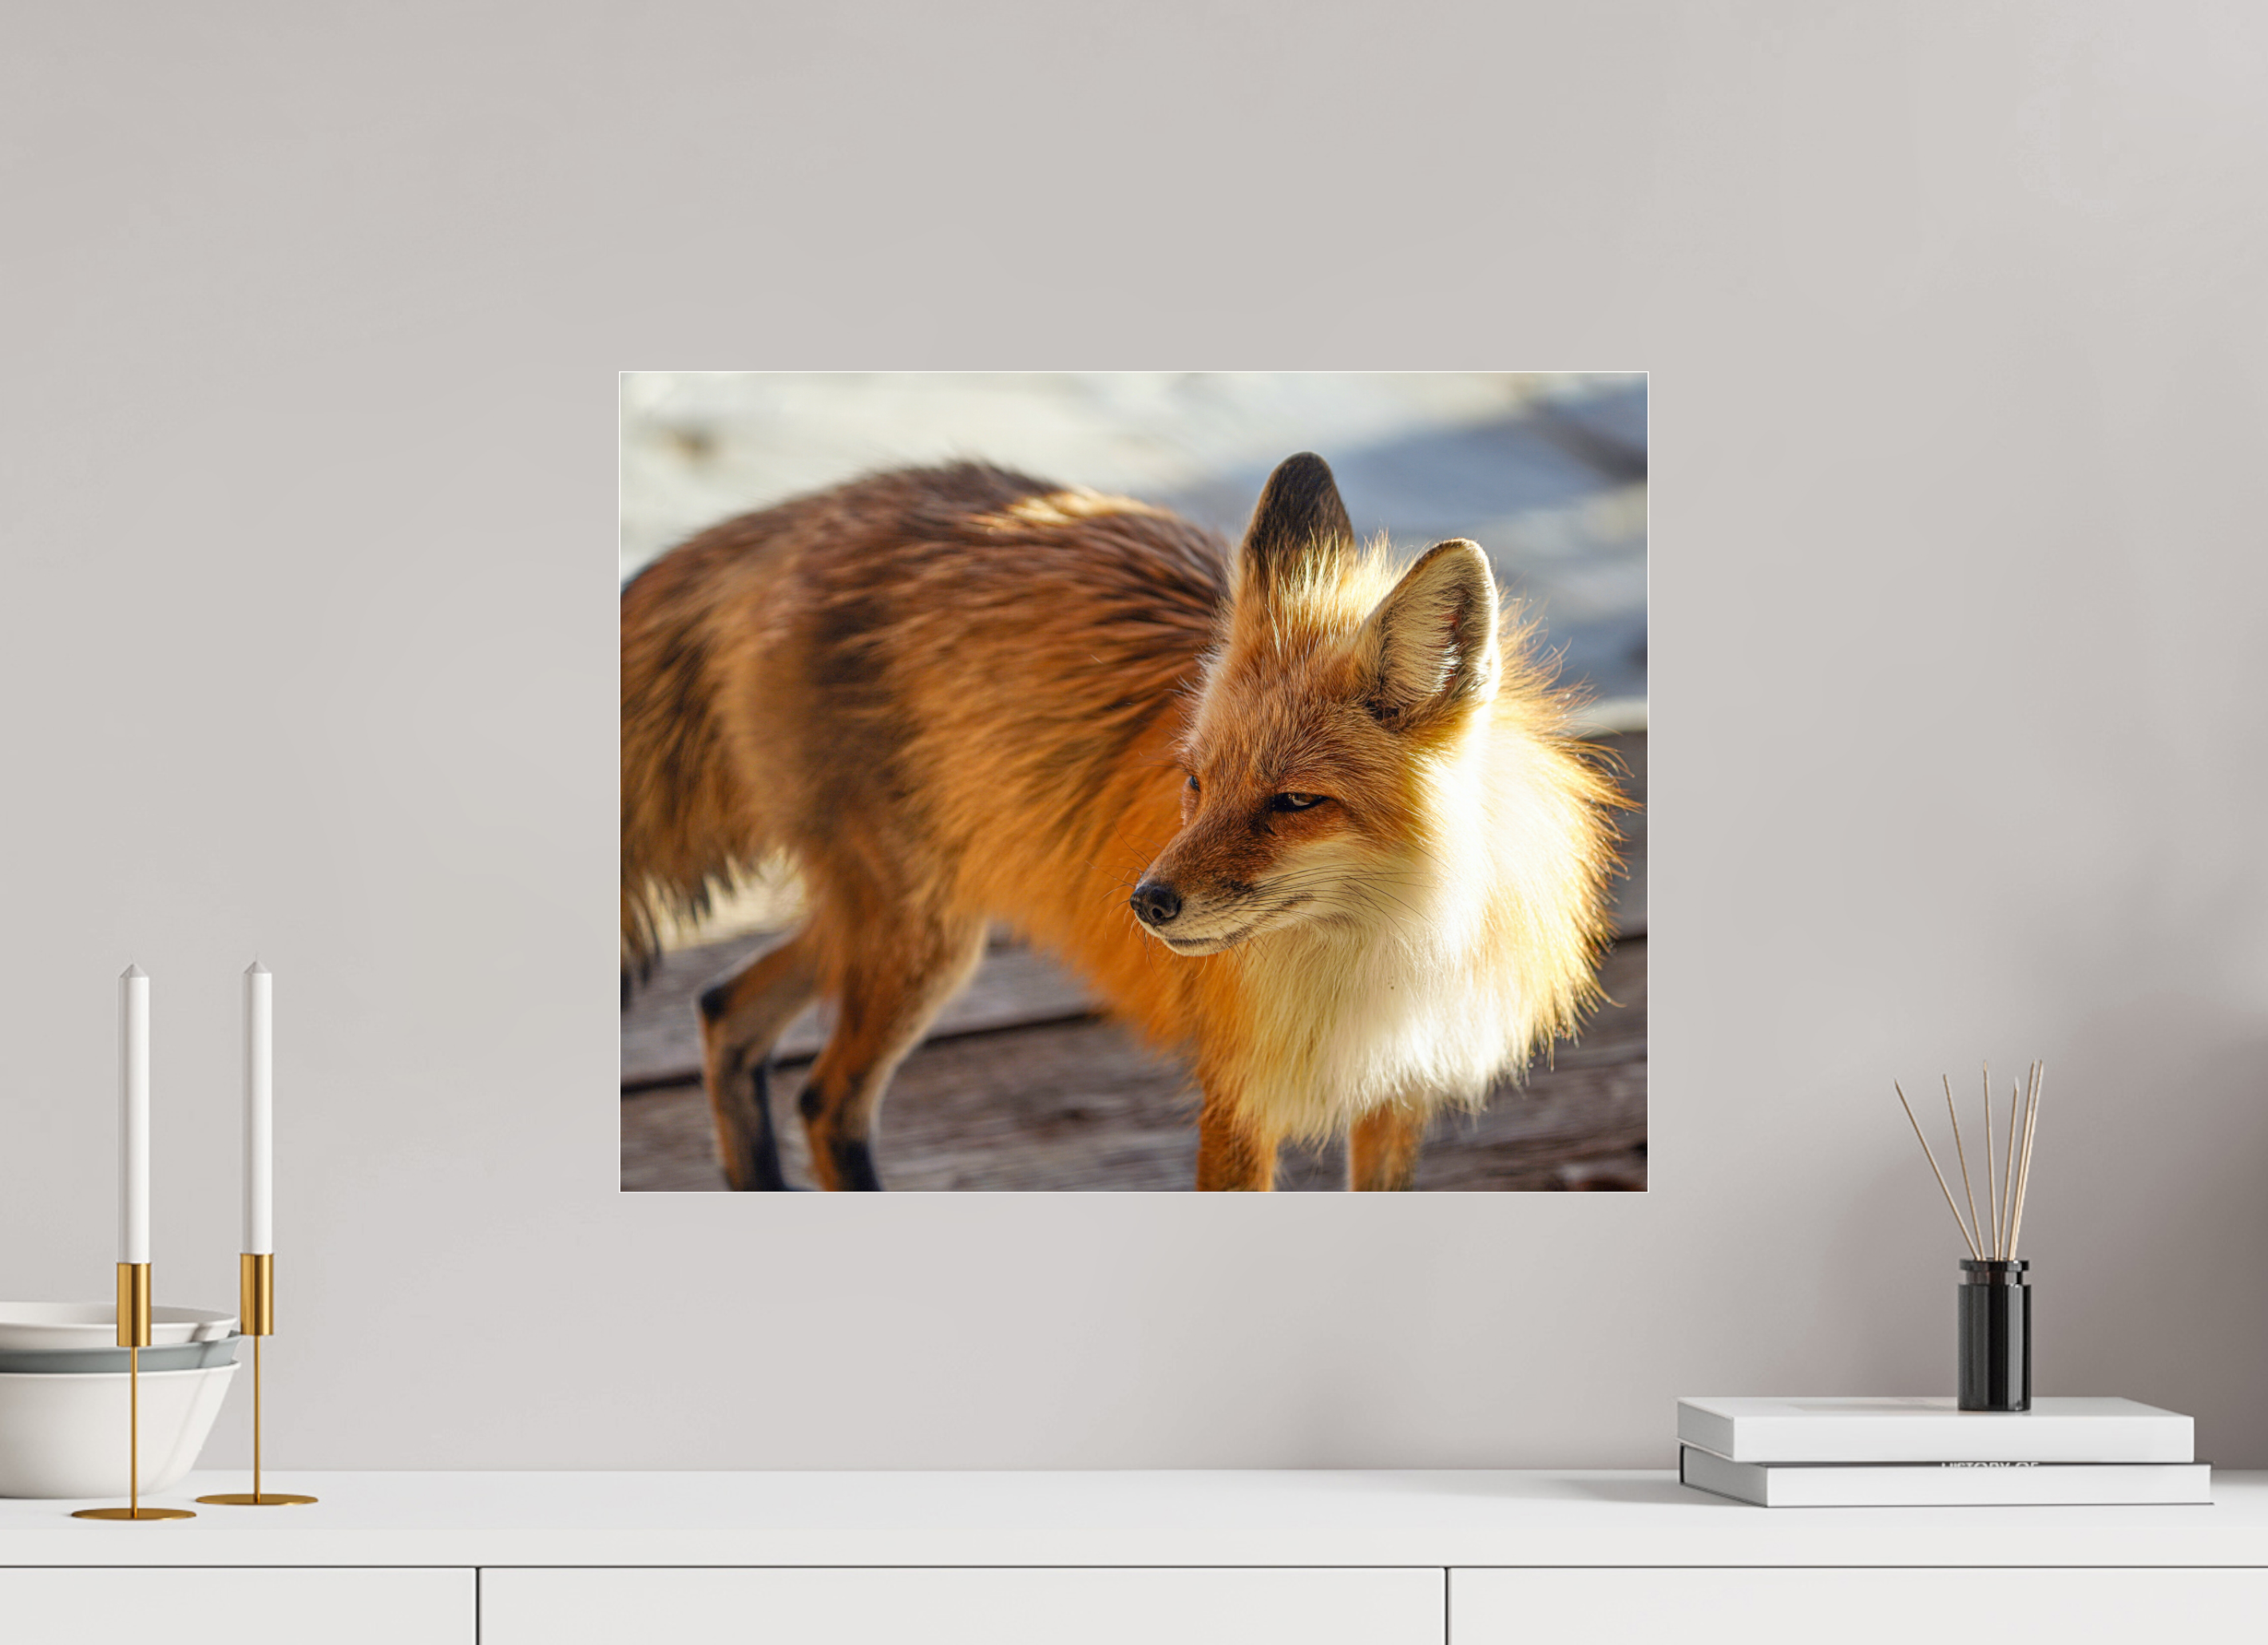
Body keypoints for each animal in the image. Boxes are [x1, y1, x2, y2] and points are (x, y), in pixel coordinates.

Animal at [621, 452, 1621, 1191]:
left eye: (1294, 801)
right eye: (1195, 782)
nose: (1145, 903)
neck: (1395, 953)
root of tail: (818, 505)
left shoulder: (1396, 1095)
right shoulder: (1238, 1097)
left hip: (899, 924)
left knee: (724, 1008)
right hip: (919, 937)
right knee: (825, 1099)